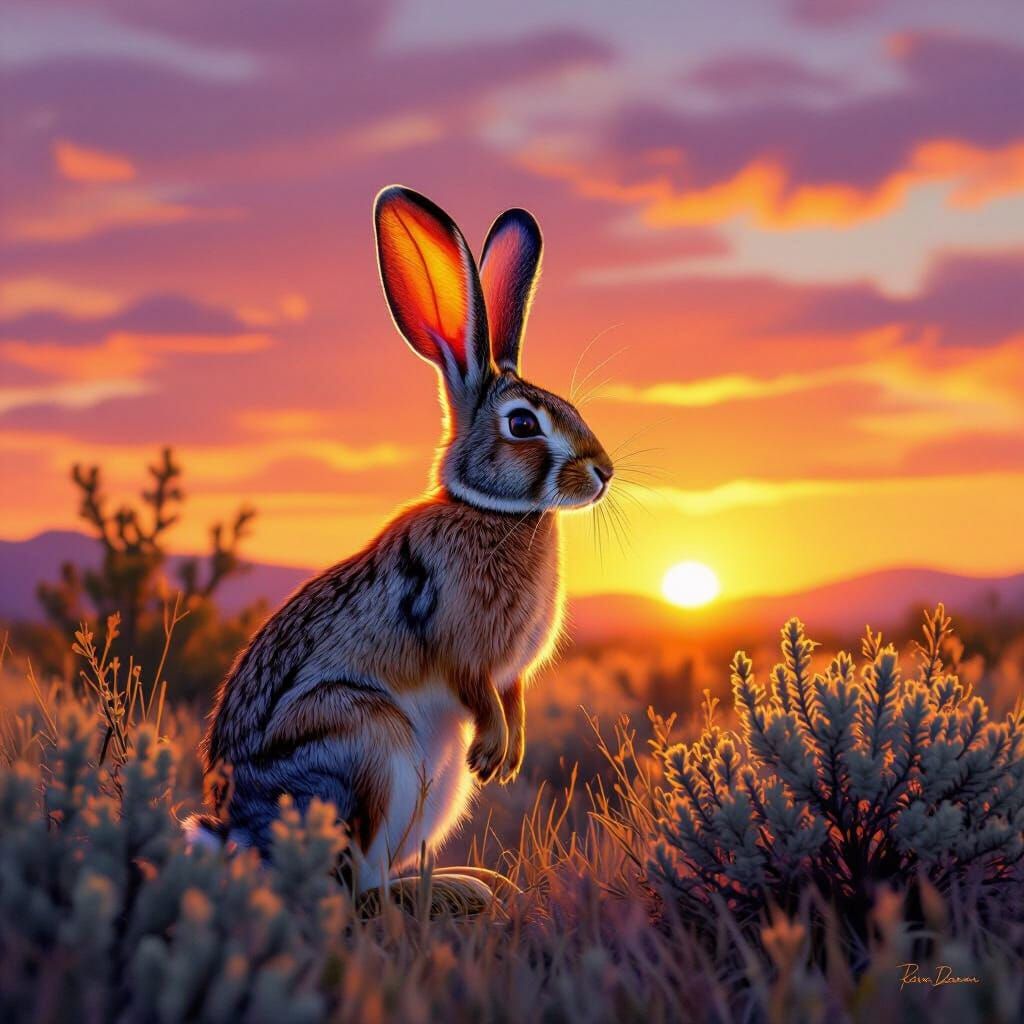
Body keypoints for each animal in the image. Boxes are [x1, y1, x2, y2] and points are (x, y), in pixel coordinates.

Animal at [186, 186, 614, 891]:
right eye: (523, 424)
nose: (604, 472)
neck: (494, 511)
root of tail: (240, 833)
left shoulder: (511, 671)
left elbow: (513, 697)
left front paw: (510, 755)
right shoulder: (460, 641)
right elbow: (476, 688)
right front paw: (494, 750)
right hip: (365, 741)